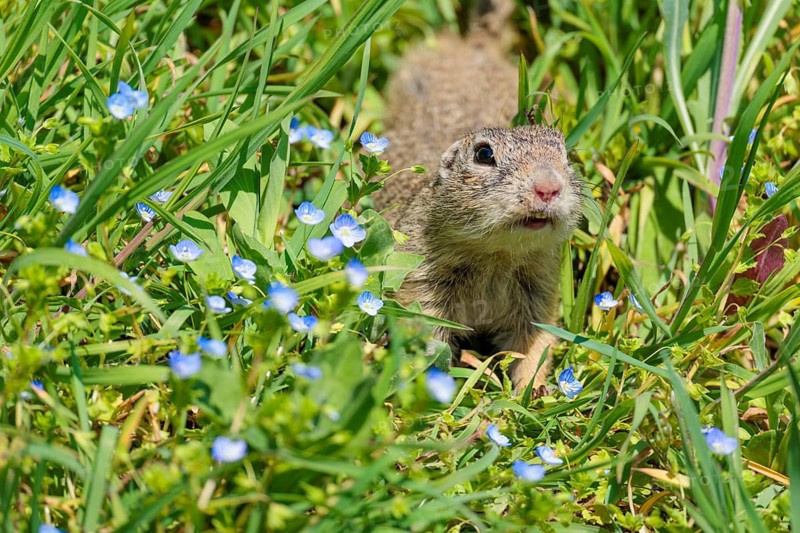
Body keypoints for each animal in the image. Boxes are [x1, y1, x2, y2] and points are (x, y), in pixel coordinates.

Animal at [373, 0, 584, 391]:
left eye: (565, 154)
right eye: (484, 154)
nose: (548, 187)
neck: (497, 256)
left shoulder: (541, 291)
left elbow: (536, 343)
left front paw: (531, 389)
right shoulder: (419, 282)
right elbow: (426, 334)